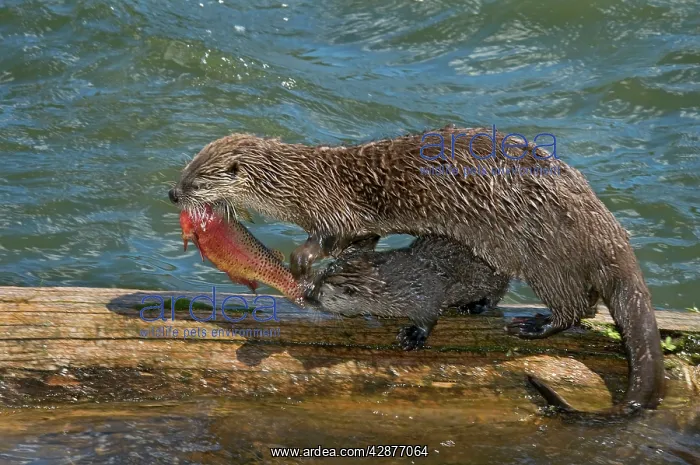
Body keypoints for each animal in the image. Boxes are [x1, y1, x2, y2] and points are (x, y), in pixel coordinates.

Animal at [170, 126, 664, 416]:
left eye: (196, 180)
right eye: (183, 169)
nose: (173, 193)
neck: (302, 184)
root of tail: (606, 228)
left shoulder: (334, 209)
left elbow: (331, 237)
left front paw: (302, 261)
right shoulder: (360, 225)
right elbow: (362, 244)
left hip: (541, 252)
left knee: (579, 304)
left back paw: (534, 325)